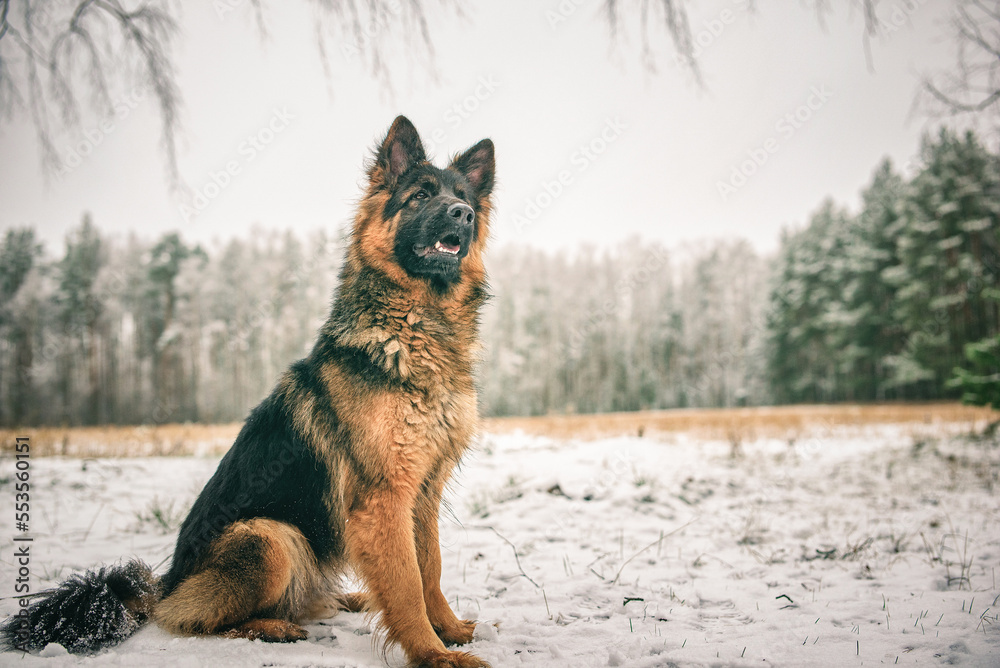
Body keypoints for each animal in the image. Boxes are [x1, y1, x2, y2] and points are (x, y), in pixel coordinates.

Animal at [3, 116, 496, 668]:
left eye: (463, 198)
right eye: (420, 196)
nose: (463, 214)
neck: (417, 330)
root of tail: (164, 584)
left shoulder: (424, 493)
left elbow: (429, 568)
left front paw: (448, 629)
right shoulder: (384, 498)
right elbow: (407, 585)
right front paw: (432, 652)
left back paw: (345, 599)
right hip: (269, 536)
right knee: (193, 619)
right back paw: (271, 626)